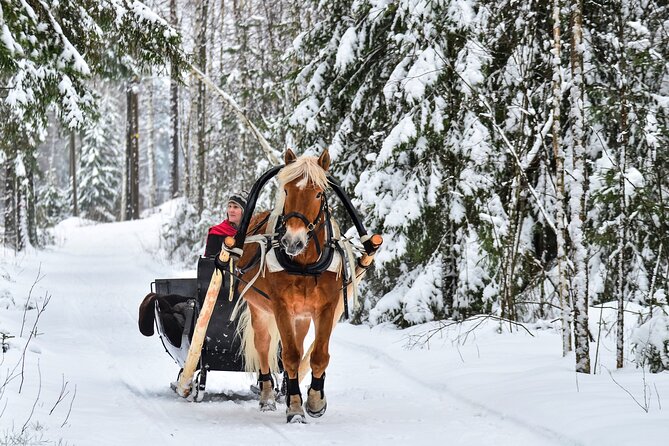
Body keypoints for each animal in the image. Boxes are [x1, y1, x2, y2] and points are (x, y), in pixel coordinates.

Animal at [235, 148, 348, 424]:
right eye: (286, 190)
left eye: (318, 193)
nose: (292, 242)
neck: (305, 264)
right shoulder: (281, 307)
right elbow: (290, 356)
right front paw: (295, 408)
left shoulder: (326, 307)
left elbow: (318, 355)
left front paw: (316, 400)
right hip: (260, 310)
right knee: (264, 346)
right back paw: (267, 394)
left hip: (302, 316)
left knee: (298, 342)